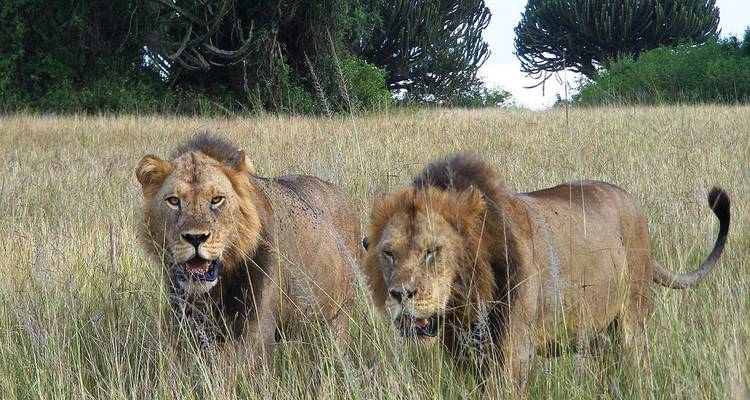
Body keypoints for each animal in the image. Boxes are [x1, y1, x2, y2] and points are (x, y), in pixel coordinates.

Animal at [136, 133, 360, 363]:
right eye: (173, 201)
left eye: (217, 199)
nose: (195, 237)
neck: (216, 290)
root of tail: (341, 194)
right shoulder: (189, 324)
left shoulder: (257, 329)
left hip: (340, 313)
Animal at [362, 154, 730, 395]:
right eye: (389, 253)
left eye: (432, 251)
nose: (400, 295)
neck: (464, 302)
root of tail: (632, 203)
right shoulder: (464, 356)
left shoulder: (514, 354)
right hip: (595, 327)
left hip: (631, 321)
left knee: (635, 364)